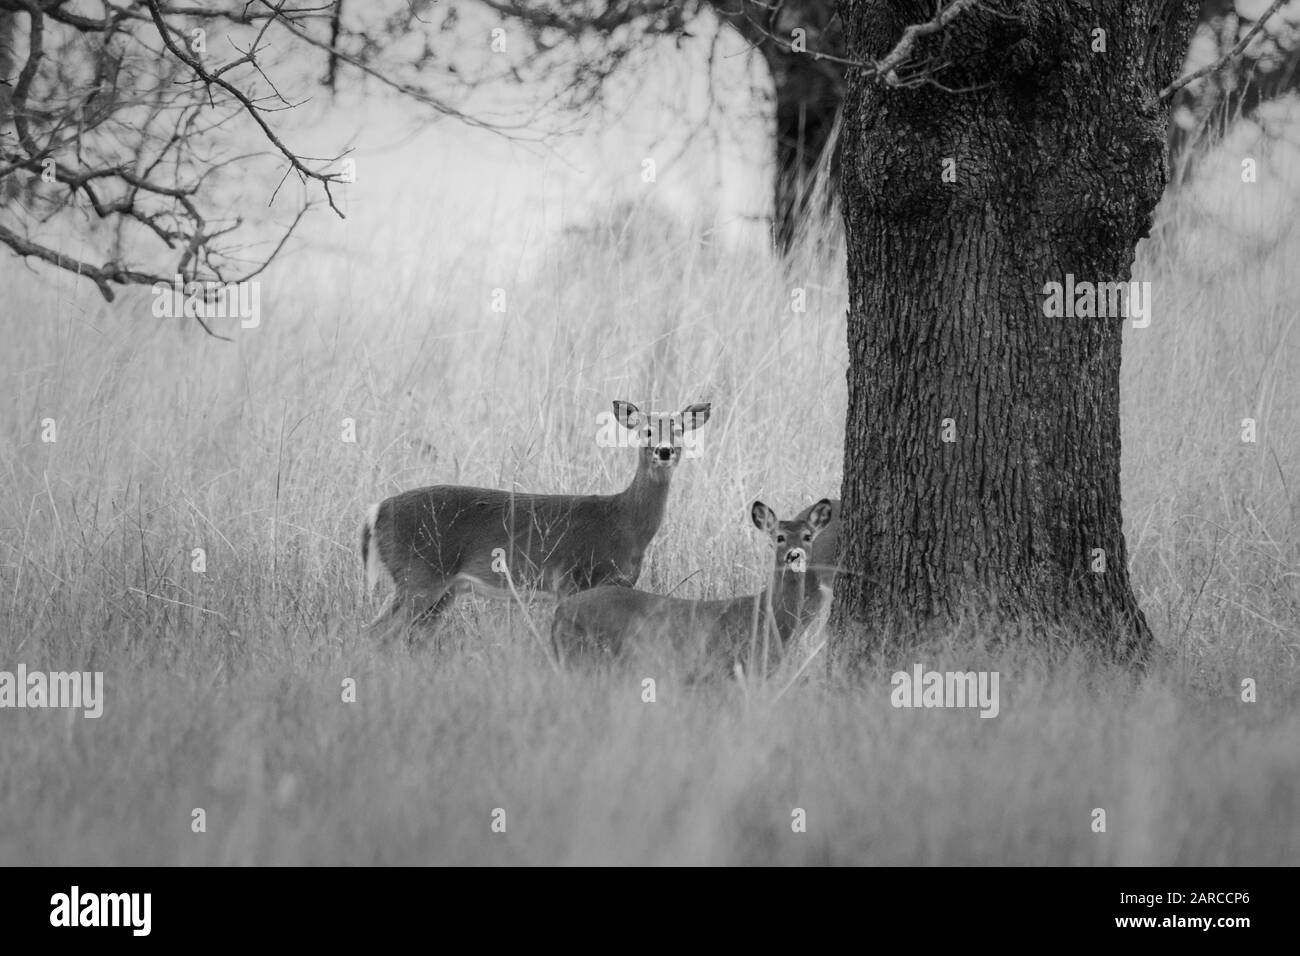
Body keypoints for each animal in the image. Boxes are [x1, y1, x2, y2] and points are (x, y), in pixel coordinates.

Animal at [361, 400, 711, 630]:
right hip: (418, 574)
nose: (664, 450)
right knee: (377, 632)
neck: (623, 521)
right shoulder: (571, 579)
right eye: (647, 431)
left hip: (440, 590)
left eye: (680, 430)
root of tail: (376, 511)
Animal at [550, 498, 835, 675]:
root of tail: (559, 612)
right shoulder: (727, 670)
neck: (767, 617)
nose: (795, 555)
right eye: (779, 537)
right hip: (585, 656)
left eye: (808, 536)